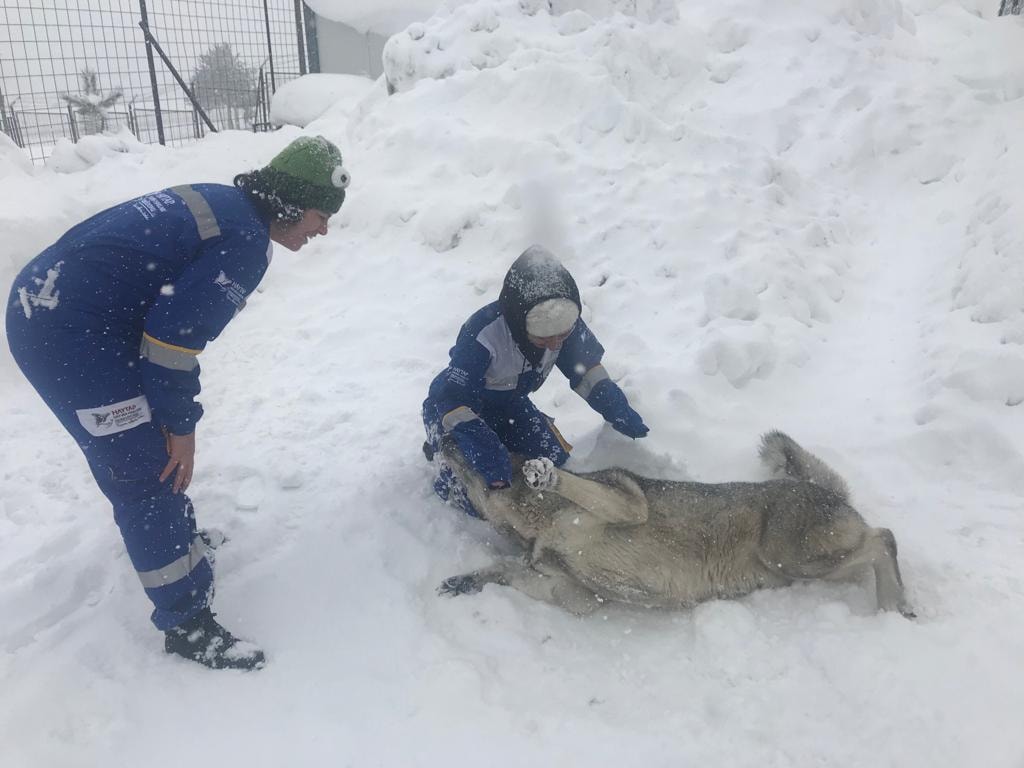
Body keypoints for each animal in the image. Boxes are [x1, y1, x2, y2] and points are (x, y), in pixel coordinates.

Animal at [436, 434, 917, 618]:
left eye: (472, 440)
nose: (438, 435)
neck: (536, 522)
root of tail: (826, 491)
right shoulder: (574, 594)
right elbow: (504, 571)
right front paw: (463, 581)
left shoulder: (626, 504)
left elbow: (574, 484)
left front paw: (545, 472)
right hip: (805, 567)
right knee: (878, 541)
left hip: (792, 557)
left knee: (884, 537)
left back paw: (895, 605)